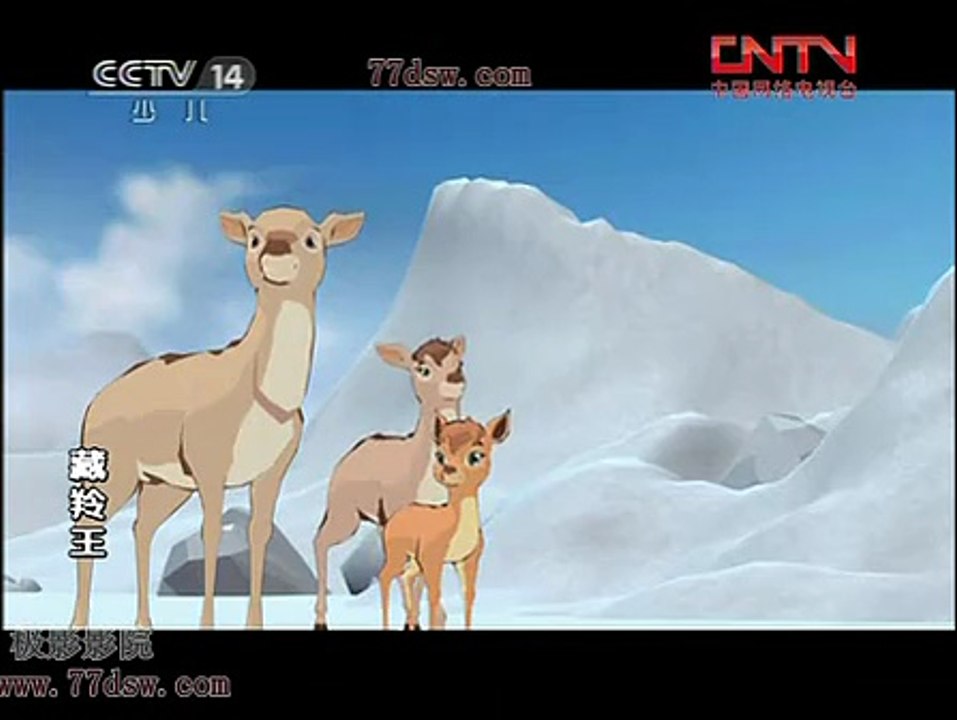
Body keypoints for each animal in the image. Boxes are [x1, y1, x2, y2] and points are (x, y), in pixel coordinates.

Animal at [69, 205, 365, 630]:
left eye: (312, 238)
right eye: (254, 238)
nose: (275, 251)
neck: (264, 396)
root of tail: (96, 401)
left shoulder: (271, 473)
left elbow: (259, 534)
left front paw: (254, 624)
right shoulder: (211, 470)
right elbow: (211, 534)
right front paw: (206, 623)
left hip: (165, 485)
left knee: (142, 529)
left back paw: (144, 622)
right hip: (117, 473)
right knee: (88, 525)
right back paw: (79, 623)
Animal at [313, 336, 467, 629]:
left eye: (459, 361)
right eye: (422, 368)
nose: (455, 379)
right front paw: (412, 621)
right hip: (346, 516)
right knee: (320, 541)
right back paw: (320, 619)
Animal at [379, 411, 511, 630]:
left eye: (477, 456)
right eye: (439, 455)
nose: (447, 469)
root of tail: (394, 517)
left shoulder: (468, 559)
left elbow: (468, 596)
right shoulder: (433, 558)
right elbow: (435, 597)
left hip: (414, 561)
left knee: (405, 577)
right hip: (397, 553)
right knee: (385, 577)